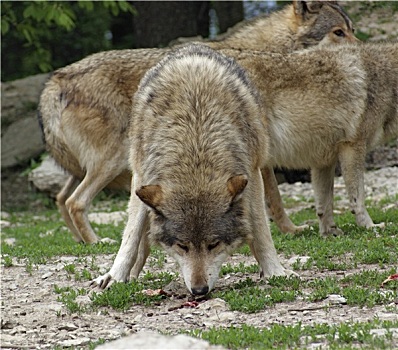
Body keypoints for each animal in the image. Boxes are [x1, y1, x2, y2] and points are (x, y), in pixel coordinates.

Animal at [39, 0, 358, 243]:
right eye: (337, 32)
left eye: (351, 30)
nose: (360, 49)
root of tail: (56, 80)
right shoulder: (260, 148)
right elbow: (276, 199)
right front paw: (291, 230)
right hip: (113, 161)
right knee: (75, 202)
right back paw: (97, 242)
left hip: (83, 168)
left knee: (61, 199)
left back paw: (81, 242)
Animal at [89, 44, 290, 296]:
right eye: (182, 246)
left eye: (213, 244)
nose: (199, 290)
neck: (195, 138)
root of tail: (193, 46)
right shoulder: (142, 176)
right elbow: (131, 234)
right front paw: (114, 276)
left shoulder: (251, 174)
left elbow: (261, 230)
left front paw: (274, 270)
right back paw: (131, 275)